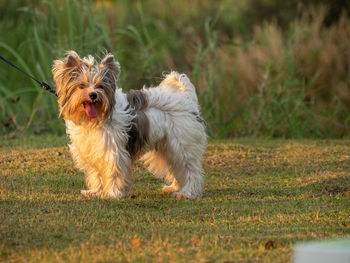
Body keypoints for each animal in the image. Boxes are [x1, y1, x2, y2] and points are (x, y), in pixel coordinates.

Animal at [50, 51, 206, 200]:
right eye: (81, 85)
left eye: (101, 86)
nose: (93, 95)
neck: (94, 120)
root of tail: (186, 98)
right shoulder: (93, 151)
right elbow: (97, 174)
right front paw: (96, 192)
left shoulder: (113, 151)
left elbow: (114, 172)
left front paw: (112, 193)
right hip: (166, 147)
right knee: (177, 167)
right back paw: (174, 187)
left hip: (182, 144)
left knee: (189, 169)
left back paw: (187, 192)